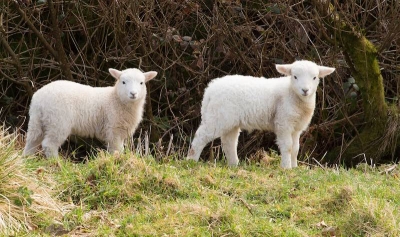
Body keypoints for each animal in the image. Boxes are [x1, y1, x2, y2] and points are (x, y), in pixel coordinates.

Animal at [22, 67, 158, 158]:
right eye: (123, 82)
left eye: (141, 83)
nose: (133, 93)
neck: (115, 99)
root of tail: (39, 99)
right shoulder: (113, 130)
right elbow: (116, 150)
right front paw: (118, 161)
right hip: (58, 121)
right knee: (49, 145)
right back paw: (57, 163)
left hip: (38, 121)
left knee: (32, 141)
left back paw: (27, 159)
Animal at [187, 60, 334, 168]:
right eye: (295, 76)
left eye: (314, 77)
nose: (305, 90)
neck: (291, 93)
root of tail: (210, 90)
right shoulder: (284, 123)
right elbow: (287, 147)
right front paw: (286, 167)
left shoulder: (296, 128)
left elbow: (295, 148)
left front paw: (294, 167)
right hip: (218, 117)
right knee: (201, 137)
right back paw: (190, 160)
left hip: (230, 120)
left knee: (229, 143)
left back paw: (234, 165)